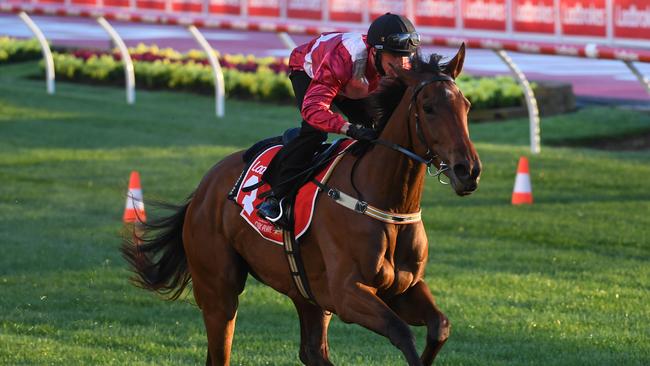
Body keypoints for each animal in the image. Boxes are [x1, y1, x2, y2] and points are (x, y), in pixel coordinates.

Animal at [121, 43, 478, 366]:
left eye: (467, 106)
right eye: (428, 107)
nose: (468, 170)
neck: (387, 203)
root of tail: (203, 189)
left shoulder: (404, 288)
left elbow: (440, 327)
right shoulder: (348, 293)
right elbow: (401, 332)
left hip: (307, 292)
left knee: (312, 352)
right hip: (219, 289)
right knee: (221, 347)